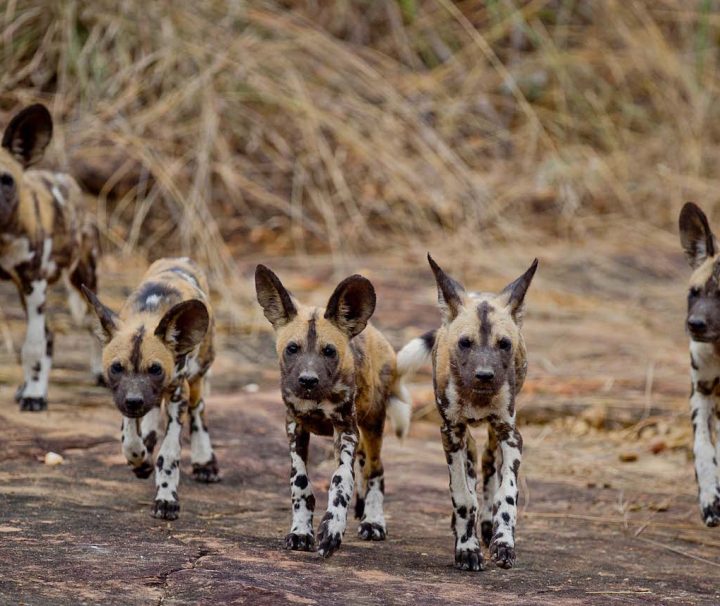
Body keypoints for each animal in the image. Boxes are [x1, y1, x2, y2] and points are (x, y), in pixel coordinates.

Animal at [0, 103, 101, 414]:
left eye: (5, 180)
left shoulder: (34, 283)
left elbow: (32, 346)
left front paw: (35, 396)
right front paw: (31, 390)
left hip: (82, 279)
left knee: (90, 326)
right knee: (49, 336)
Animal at [82, 258, 219, 524]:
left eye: (155, 369)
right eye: (116, 368)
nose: (135, 401)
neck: (148, 315)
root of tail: (180, 260)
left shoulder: (178, 394)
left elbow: (169, 455)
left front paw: (166, 499)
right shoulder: (123, 398)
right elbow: (129, 441)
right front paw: (140, 460)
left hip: (196, 378)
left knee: (198, 409)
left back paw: (204, 461)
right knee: (153, 412)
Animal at [255, 266, 410, 560]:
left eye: (329, 351)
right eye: (292, 349)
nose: (307, 380)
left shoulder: (346, 431)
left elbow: (341, 480)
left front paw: (333, 529)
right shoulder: (295, 426)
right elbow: (300, 483)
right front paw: (300, 531)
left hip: (372, 426)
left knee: (375, 470)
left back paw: (373, 521)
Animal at [396, 256, 536, 576]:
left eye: (504, 344)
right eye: (465, 343)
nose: (485, 375)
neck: (477, 397)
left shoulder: (511, 434)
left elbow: (506, 495)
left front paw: (503, 543)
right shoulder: (452, 433)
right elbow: (462, 496)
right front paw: (467, 549)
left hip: (495, 434)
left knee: (487, 466)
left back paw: (486, 524)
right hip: (463, 437)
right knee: (471, 471)